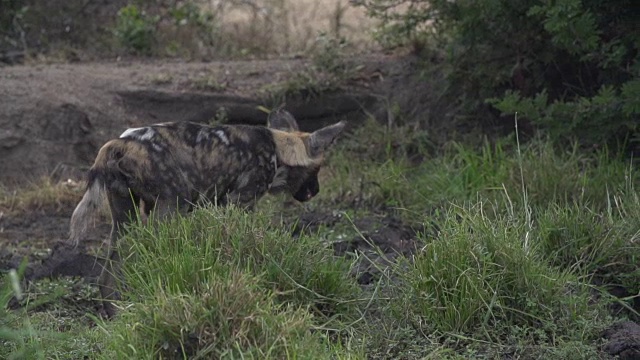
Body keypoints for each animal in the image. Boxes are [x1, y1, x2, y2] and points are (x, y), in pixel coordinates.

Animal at [69, 109, 344, 316]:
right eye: (317, 169)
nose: (315, 192)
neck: (279, 148)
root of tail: (120, 141)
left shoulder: (221, 205)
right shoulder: (240, 202)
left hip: (125, 216)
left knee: (109, 272)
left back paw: (116, 314)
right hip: (172, 207)